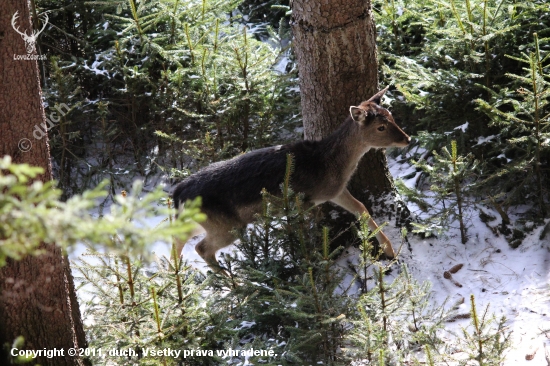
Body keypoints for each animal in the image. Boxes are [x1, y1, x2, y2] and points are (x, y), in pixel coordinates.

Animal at [175, 87, 412, 274]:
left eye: (391, 116)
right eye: (380, 127)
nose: (407, 139)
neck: (329, 164)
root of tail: (177, 193)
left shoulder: (334, 191)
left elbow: (361, 208)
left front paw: (390, 250)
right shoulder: (307, 199)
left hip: (201, 222)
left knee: (178, 239)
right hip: (226, 225)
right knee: (201, 248)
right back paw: (235, 283)